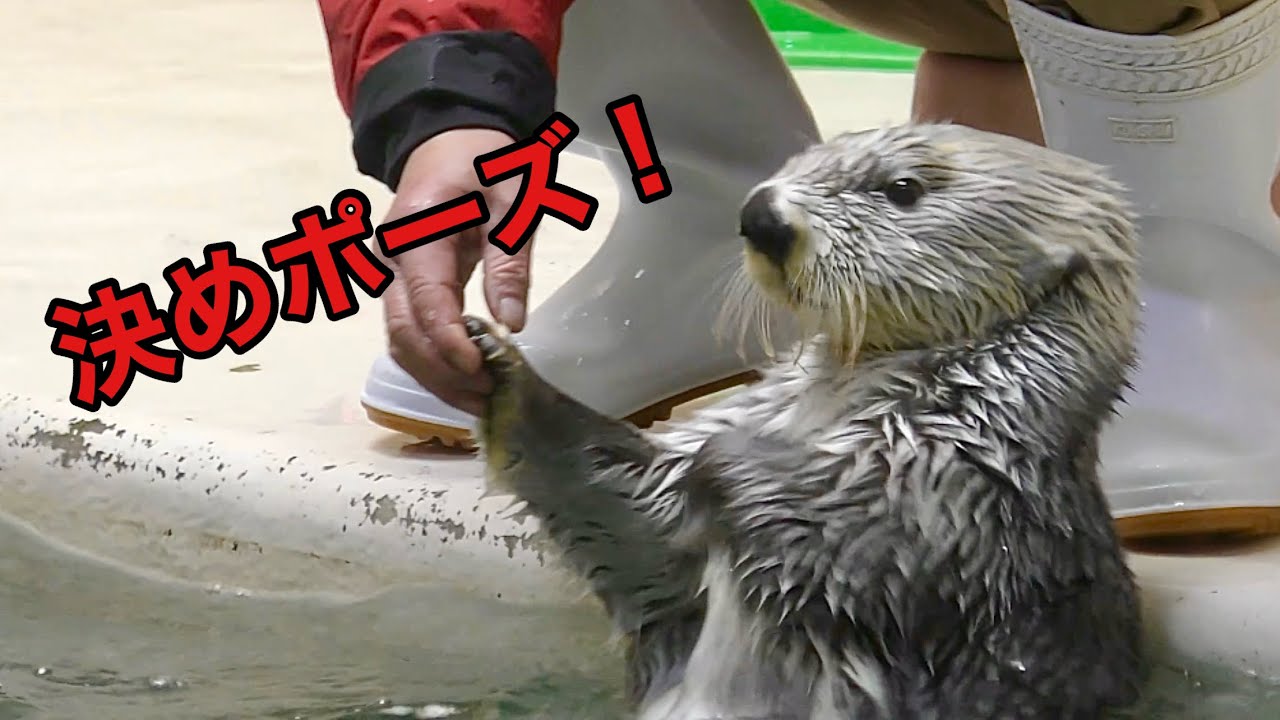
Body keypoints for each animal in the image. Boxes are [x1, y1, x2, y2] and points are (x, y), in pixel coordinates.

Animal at [463, 122, 1147, 719]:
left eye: (902, 188)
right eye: (807, 160)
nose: (762, 216)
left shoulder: (944, 497)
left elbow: (831, 537)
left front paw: (728, 458)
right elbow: (636, 522)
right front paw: (500, 363)